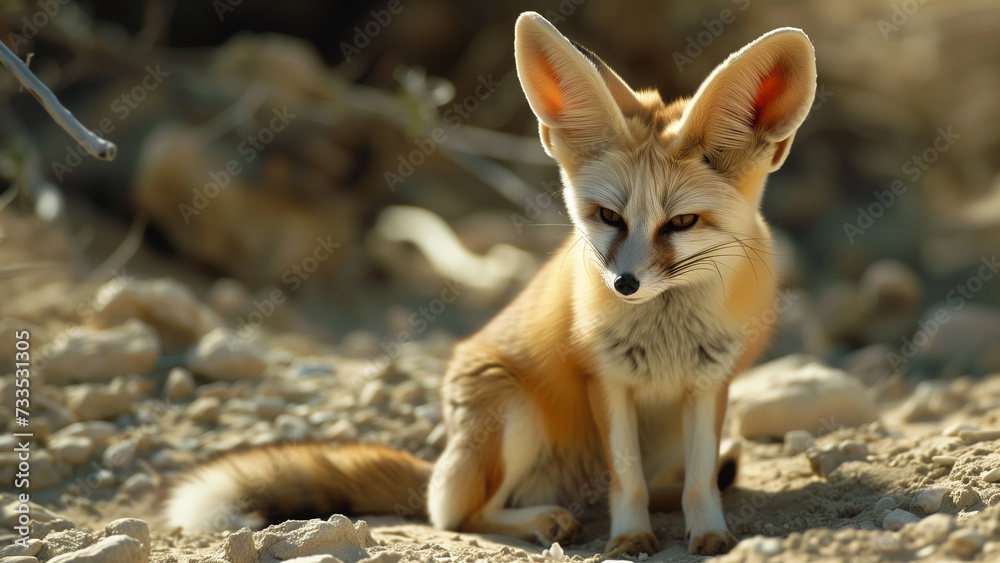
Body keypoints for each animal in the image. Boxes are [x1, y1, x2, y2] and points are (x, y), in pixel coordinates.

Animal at [162, 12, 812, 560]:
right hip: (511, 413)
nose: (623, 284)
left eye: (681, 223)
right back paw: (546, 520)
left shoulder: (709, 382)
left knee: (656, 484)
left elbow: (700, 481)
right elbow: (623, 478)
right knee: (460, 514)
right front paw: (629, 538)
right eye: (608, 217)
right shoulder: (605, 380)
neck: (666, 332)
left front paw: (709, 535)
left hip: (651, 436)